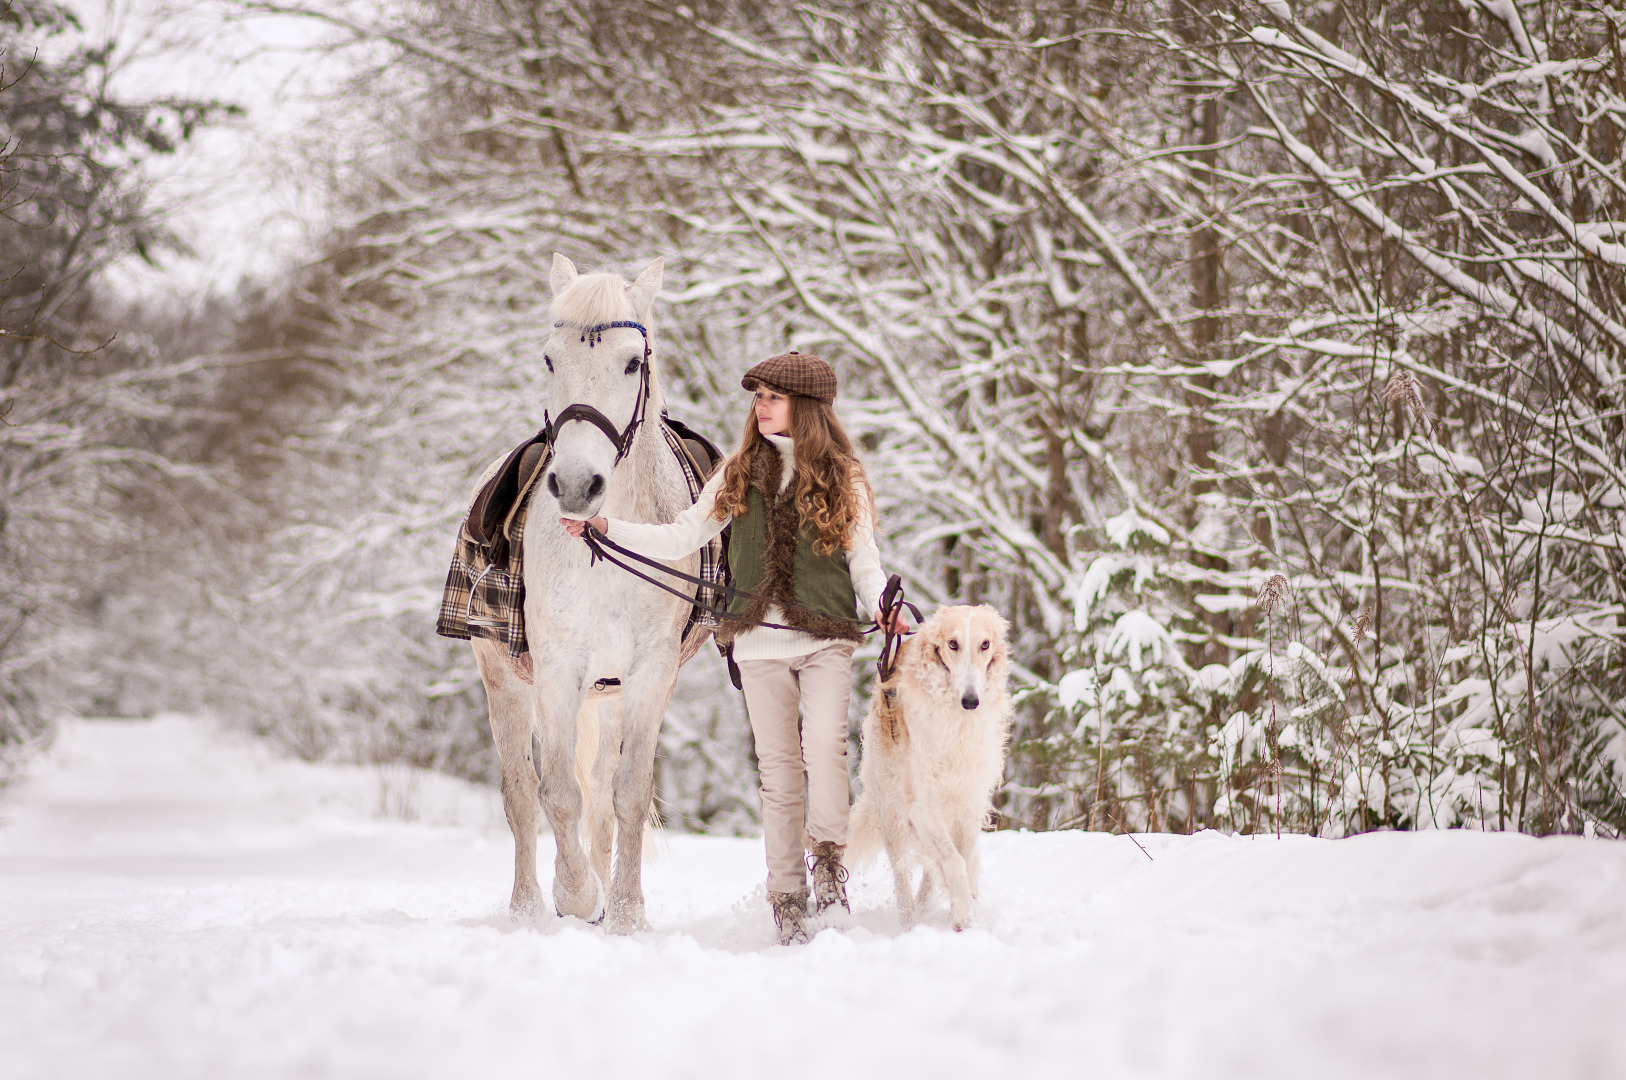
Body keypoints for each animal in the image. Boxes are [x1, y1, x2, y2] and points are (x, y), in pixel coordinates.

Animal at [471, 250, 699, 930]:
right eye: (550, 359)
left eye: (631, 362)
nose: (576, 485)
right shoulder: (555, 670)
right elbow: (558, 795)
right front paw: (576, 896)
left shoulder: (650, 673)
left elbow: (625, 795)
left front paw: (625, 914)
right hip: (505, 680)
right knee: (522, 796)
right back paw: (527, 907)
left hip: (611, 692)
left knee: (600, 794)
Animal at [852, 608, 1001, 930]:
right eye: (953, 644)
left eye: (985, 644)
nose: (971, 701)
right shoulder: (922, 805)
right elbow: (955, 862)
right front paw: (963, 915)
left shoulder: (968, 802)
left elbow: (963, 860)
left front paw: (963, 910)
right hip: (893, 813)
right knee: (902, 878)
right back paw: (910, 923)